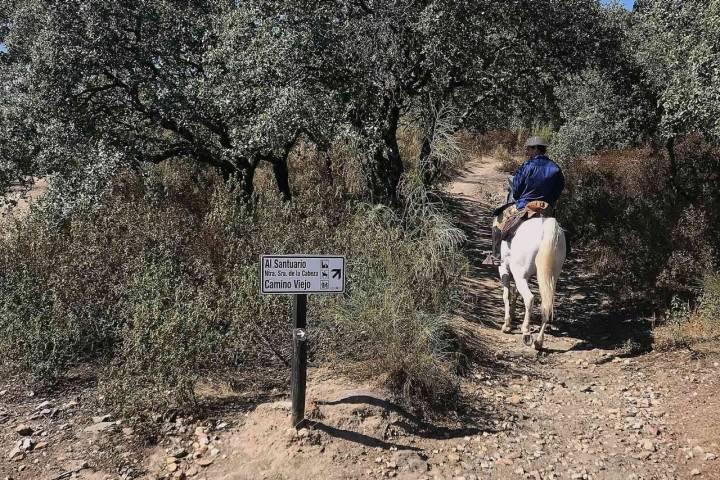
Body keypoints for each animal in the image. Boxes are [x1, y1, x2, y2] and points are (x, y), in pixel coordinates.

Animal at [498, 217, 564, 348]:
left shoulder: (504, 269)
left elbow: (506, 295)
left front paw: (507, 325)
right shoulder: (524, 277)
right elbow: (516, 293)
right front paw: (512, 315)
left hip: (519, 274)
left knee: (529, 298)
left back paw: (526, 332)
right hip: (551, 277)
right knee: (546, 305)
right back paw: (538, 341)